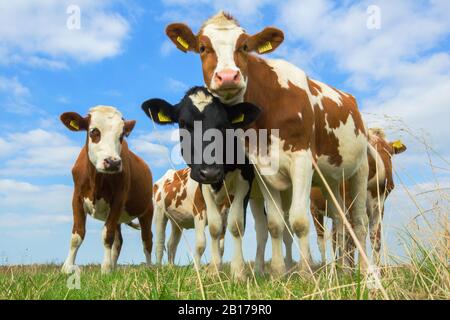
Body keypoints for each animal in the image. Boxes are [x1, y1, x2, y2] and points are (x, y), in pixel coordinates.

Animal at [60, 106, 154, 274]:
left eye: (121, 135)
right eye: (94, 132)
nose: (113, 162)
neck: (97, 180)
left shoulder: (118, 200)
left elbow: (107, 234)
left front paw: (105, 269)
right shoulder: (77, 197)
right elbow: (77, 234)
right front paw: (67, 267)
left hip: (147, 210)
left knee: (147, 239)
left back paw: (149, 268)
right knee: (118, 242)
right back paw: (114, 267)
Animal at [141, 87, 260, 280]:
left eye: (224, 124)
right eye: (183, 123)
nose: (210, 171)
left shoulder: (244, 184)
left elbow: (233, 227)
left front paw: (236, 272)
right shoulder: (201, 201)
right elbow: (209, 234)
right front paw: (210, 271)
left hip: (177, 223)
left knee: (171, 243)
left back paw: (171, 269)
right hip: (159, 212)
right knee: (159, 243)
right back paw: (159, 271)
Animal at [165, 11, 370, 272]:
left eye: (244, 46)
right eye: (202, 47)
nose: (228, 76)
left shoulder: (302, 160)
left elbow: (299, 221)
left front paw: (305, 272)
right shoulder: (262, 169)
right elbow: (274, 224)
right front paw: (278, 272)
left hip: (360, 169)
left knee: (359, 221)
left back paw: (364, 271)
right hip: (331, 180)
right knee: (339, 218)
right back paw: (341, 270)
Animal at [312, 127, 406, 264]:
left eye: (390, 153)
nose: (386, 181)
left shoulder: (379, 206)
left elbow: (375, 239)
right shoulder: (350, 205)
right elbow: (352, 242)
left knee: (336, 237)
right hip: (314, 208)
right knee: (321, 240)